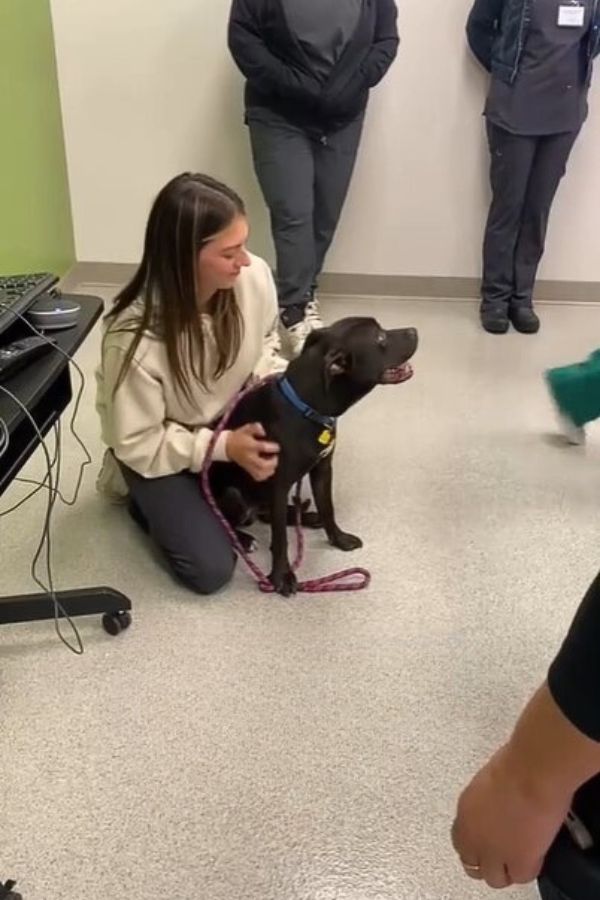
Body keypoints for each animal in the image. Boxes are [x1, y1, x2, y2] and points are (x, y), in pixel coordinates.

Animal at [210, 316, 418, 596]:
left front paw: (338, 539)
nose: (414, 331)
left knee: (268, 515)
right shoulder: (278, 483)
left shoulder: (322, 470)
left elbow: (328, 508)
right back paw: (244, 539)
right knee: (229, 522)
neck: (308, 406)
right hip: (233, 494)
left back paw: (305, 515)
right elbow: (280, 538)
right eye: (380, 338)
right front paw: (281, 576)